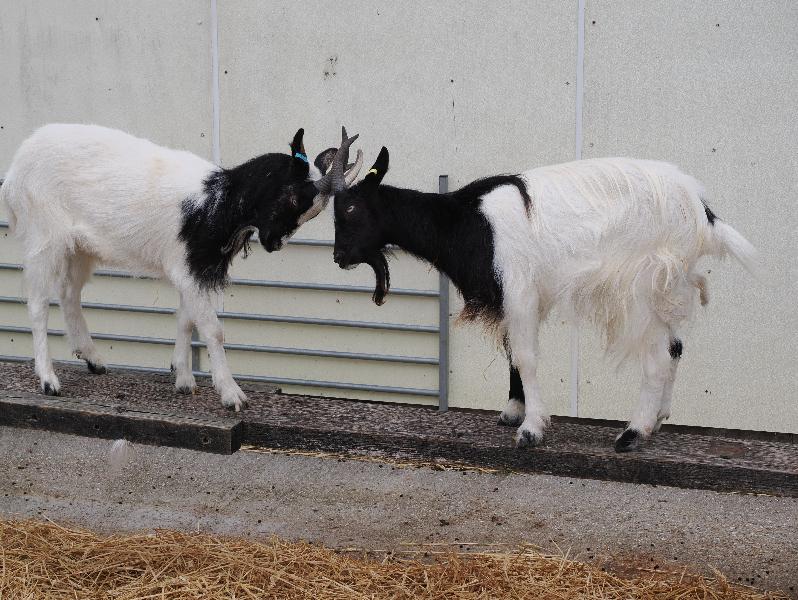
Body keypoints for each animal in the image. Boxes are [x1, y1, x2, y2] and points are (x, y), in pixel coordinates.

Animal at [0, 124, 362, 410]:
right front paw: (231, 395)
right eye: (293, 198)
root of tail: (14, 172)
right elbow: (212, 329)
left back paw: (93, 358)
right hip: (44, 236)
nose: (275, 243)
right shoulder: (189, 268)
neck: (219, 201)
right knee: (38, 304)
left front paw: (184, 379)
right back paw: (49, 380)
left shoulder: (192, 270)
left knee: (69, 292)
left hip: (80, 247)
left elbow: (186, 319)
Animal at [332, 148, 758, 451]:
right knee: (675, 346)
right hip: (665, 287)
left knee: (657, 357)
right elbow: (511, 353)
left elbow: (525, 357)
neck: (465, 220)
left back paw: (633, 434)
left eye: (350, 207)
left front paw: (531, 429)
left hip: (639, 288)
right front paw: (512, 411)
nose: (339, 257)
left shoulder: (519, 290)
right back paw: (658, 418)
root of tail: (703, 213)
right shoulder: (511, 298)